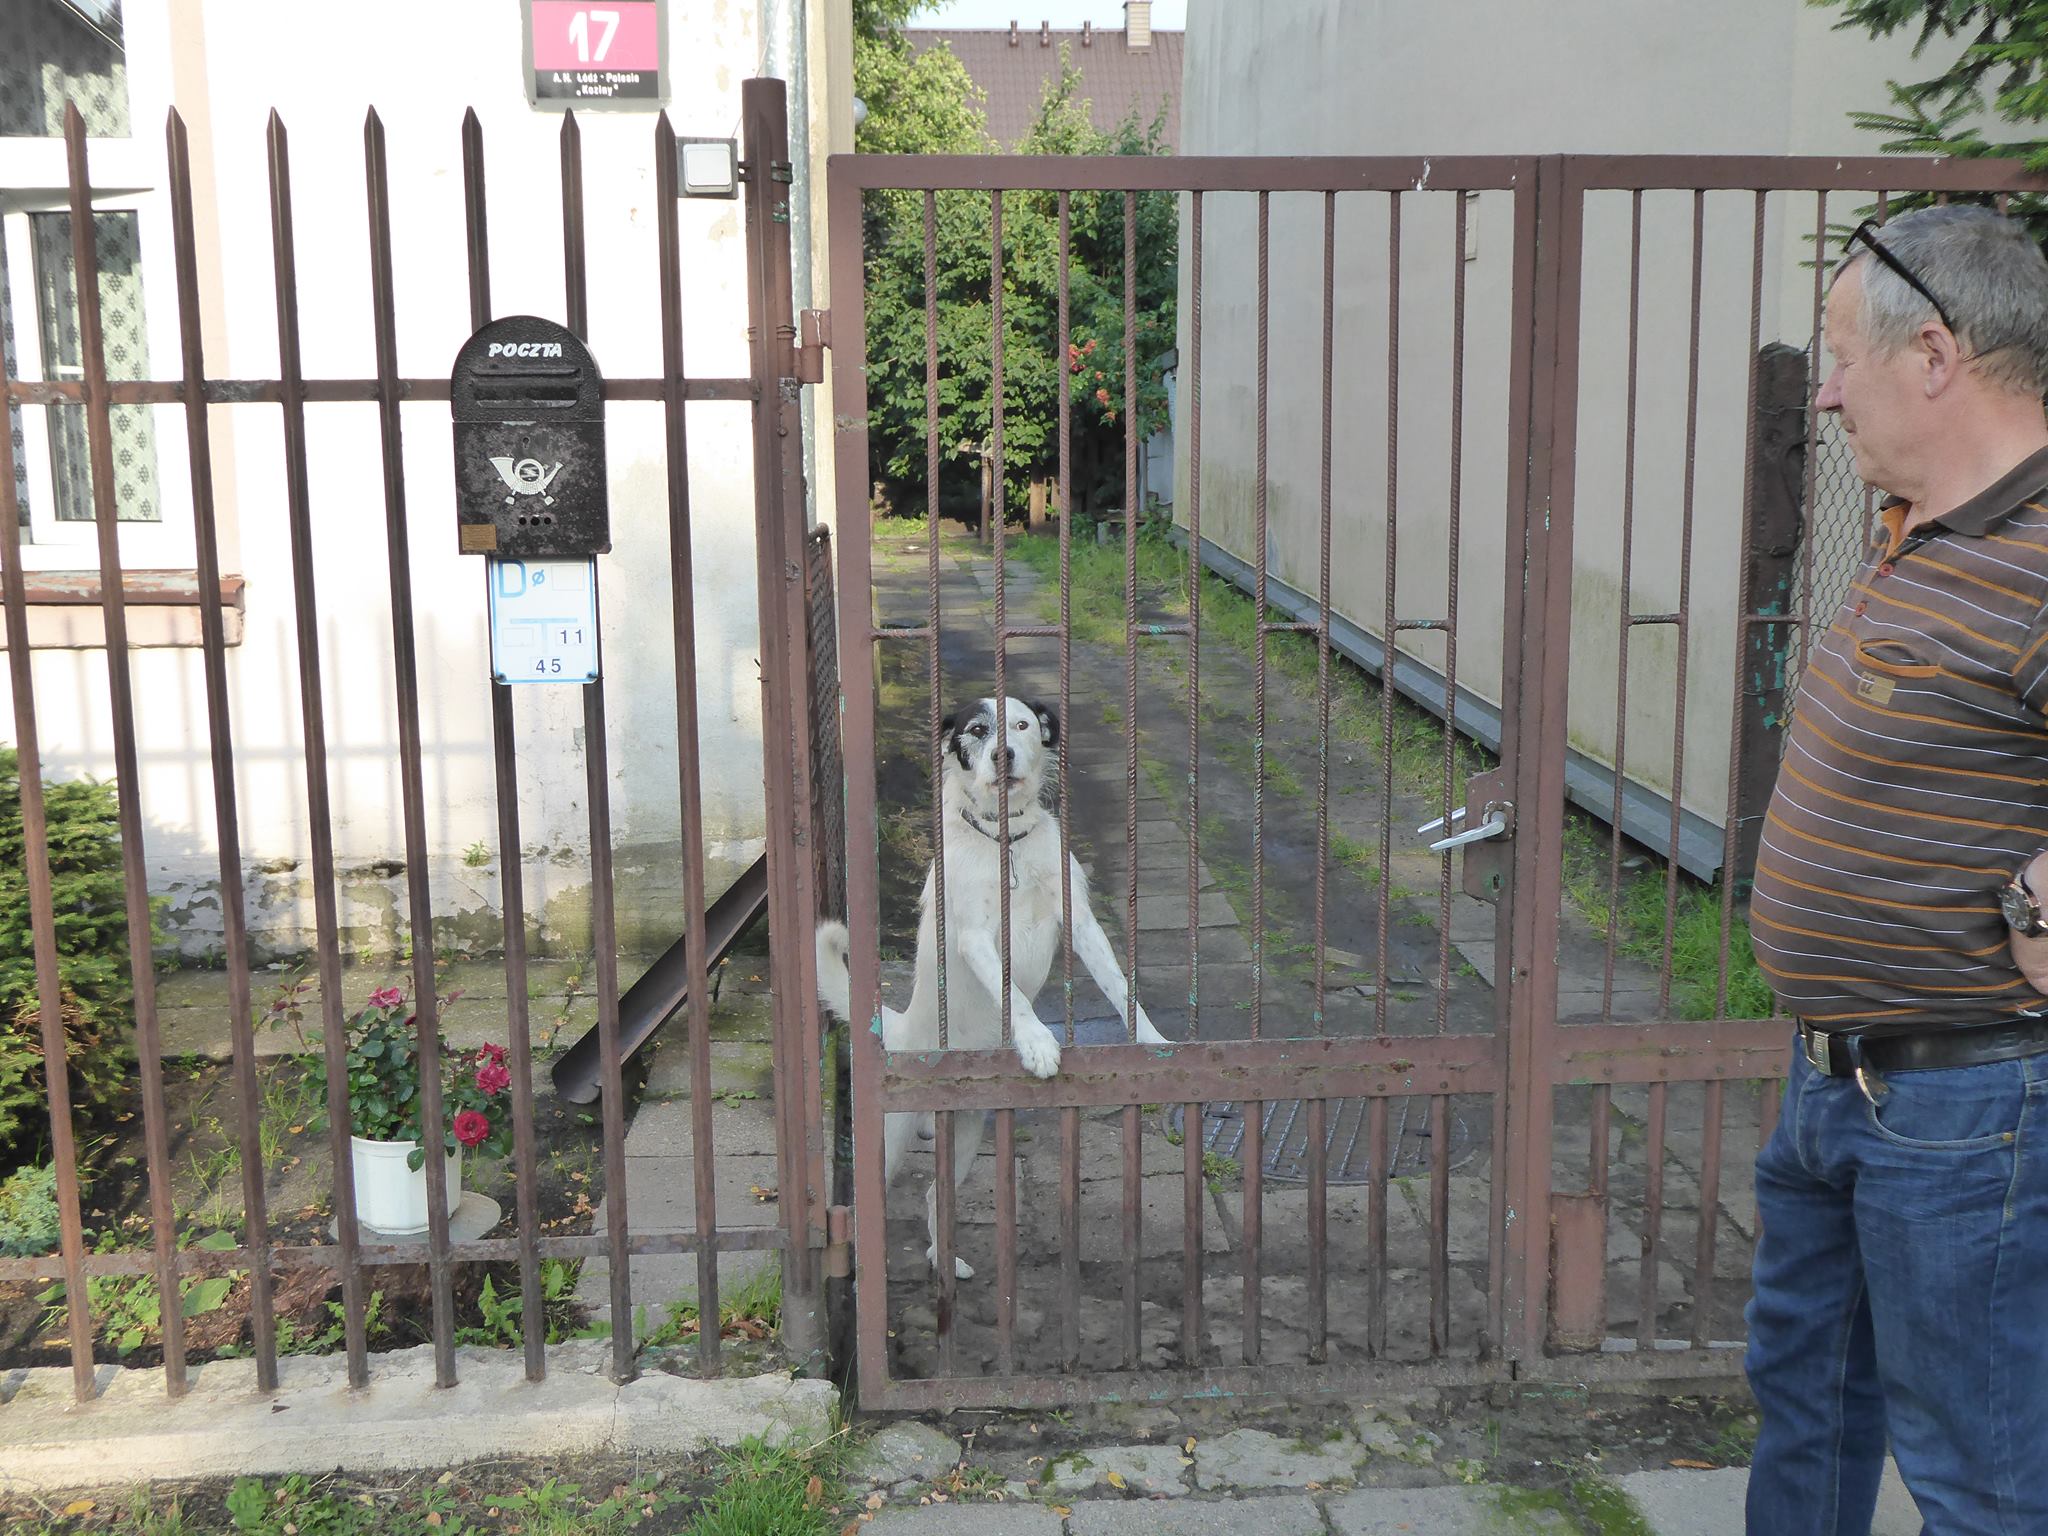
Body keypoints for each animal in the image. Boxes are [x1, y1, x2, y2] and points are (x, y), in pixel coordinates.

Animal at [815, 694, 1171, 1276]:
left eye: (1023, 724)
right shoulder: (977, 939)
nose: (1004, 753)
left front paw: (1152, 1040)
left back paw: (945, 1261)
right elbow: (1017, 997)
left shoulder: (1081, 922)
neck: (1007, 844)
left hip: (963, 1136)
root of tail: (899, 1029)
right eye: (978, 731)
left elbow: (1122, 986)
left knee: (935, 1194)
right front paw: (1039, 1044)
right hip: (888, 1140)